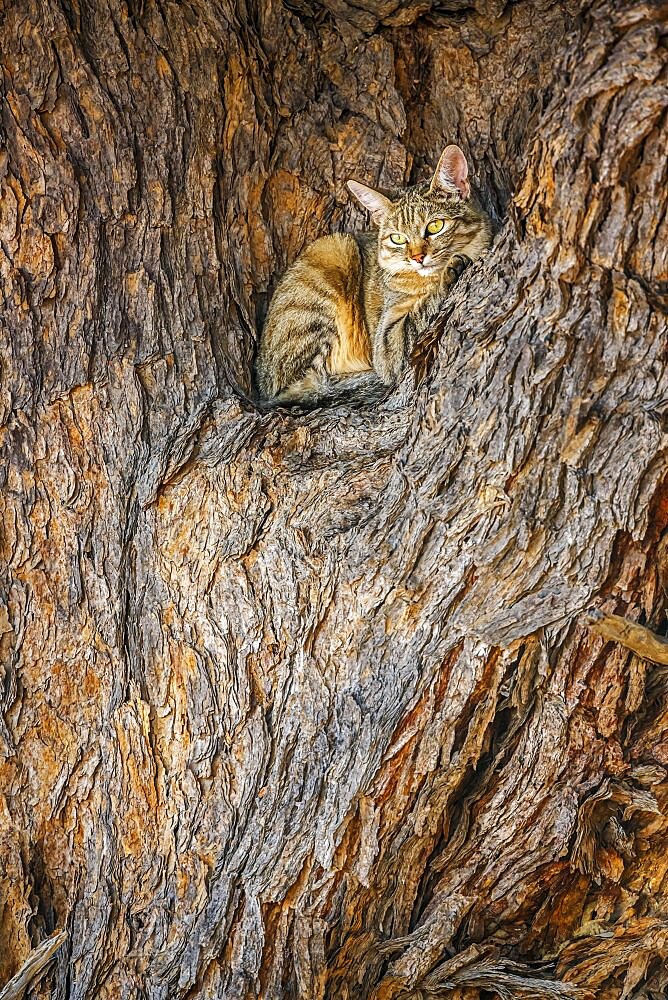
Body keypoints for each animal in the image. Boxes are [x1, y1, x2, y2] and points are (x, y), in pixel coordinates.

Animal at [256, 144, 490, 406]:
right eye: (397, 238)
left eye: (435, 226)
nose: (417, 257)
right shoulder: (387, 342)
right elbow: (419, 313)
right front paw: (450, 272)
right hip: (335, 250)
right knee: (306, 386)